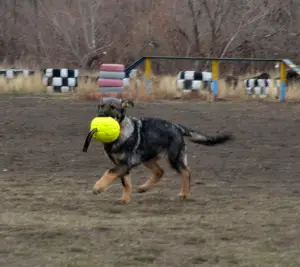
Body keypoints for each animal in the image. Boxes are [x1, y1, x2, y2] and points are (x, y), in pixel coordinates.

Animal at [82, 100, 234, 205]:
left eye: (113, 107)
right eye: (101, 106)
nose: (100, 116)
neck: (120, 134)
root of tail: (177, 127)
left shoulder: (124, 164)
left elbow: (109, 172)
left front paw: (98, 188)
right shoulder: (122, 165)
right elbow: (126, 183)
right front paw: (125, 199)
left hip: (173, 158)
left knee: (186, 172)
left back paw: (184, 194)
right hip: (147, 159)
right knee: (160, 172)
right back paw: (144, 188)